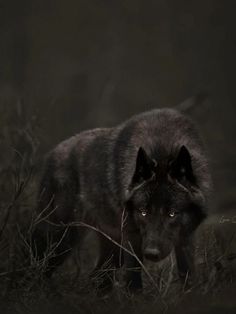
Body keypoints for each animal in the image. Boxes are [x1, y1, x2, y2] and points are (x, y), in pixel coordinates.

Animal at [32, 104, 211, 294]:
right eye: (143, 212)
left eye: (171, 213)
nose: (151, 253)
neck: (163, 146)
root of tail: (51, 154)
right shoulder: (132, 238)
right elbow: (134, 282)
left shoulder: (186, 238)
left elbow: (188, 277)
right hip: (61, 238)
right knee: (38, 263)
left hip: (111, 249)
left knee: (97, 277)